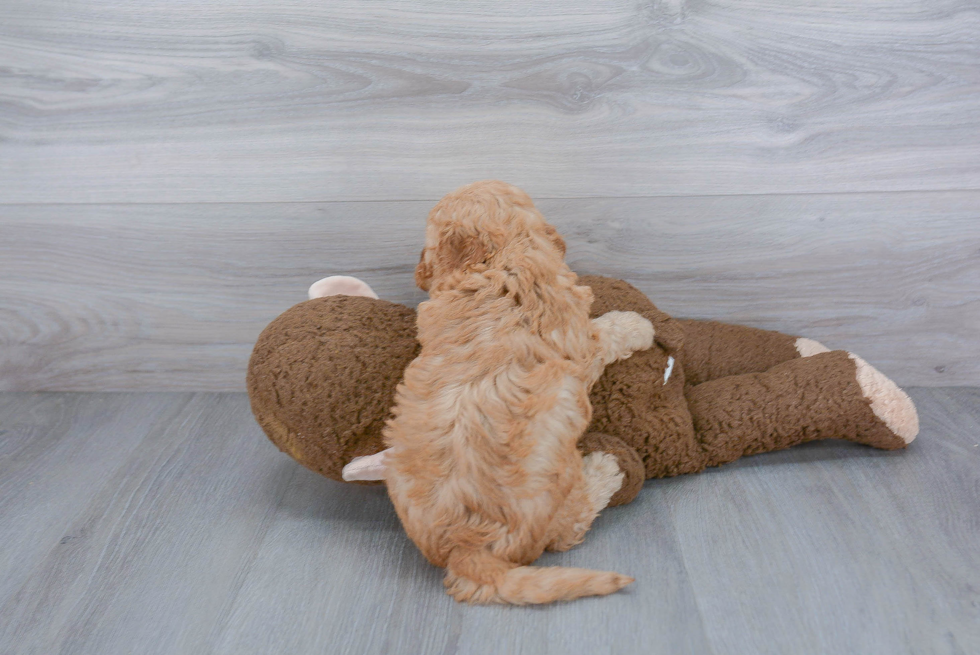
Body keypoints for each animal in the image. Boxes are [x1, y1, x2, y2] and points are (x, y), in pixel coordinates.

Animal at [380, 179, 652, 604]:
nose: (419, 273)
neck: (499, 260)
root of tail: (467, 548)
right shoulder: (580, 340)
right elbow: (606, 333)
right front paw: (637, 325)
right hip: (560, 493)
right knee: (572, 525)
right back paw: (605, 470)